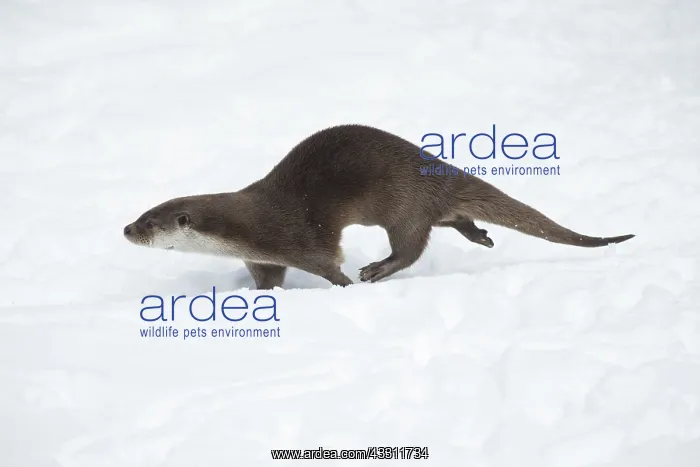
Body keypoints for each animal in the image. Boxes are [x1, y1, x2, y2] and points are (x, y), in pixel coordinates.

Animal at [123, 124, 634, 289]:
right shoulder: (263, 259)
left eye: (150, 222)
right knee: (451, 219)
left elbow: (331, 267)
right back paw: (480, 235)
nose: (126, 230)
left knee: (411, 247)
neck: (249, 230)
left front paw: (348, 285)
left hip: (402, 206)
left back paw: (377, 270)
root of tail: (436, 169)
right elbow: (268, 282)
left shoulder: (302, 243)